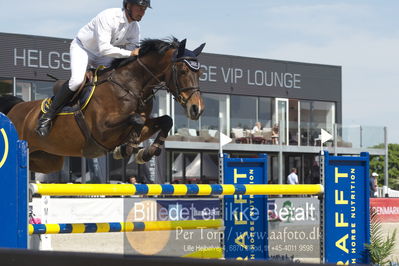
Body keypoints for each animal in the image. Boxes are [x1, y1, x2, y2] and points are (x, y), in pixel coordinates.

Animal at [0, 38, 206, 175]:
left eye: (200, 73)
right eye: (183, 71)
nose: (197, 109)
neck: (131, 86)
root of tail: (16, 108)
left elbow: (165, 120)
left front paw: (145, 153)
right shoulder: (101, 130)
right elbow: (136, 119)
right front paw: (127, 148)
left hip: (47, 160)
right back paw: (43, 124)